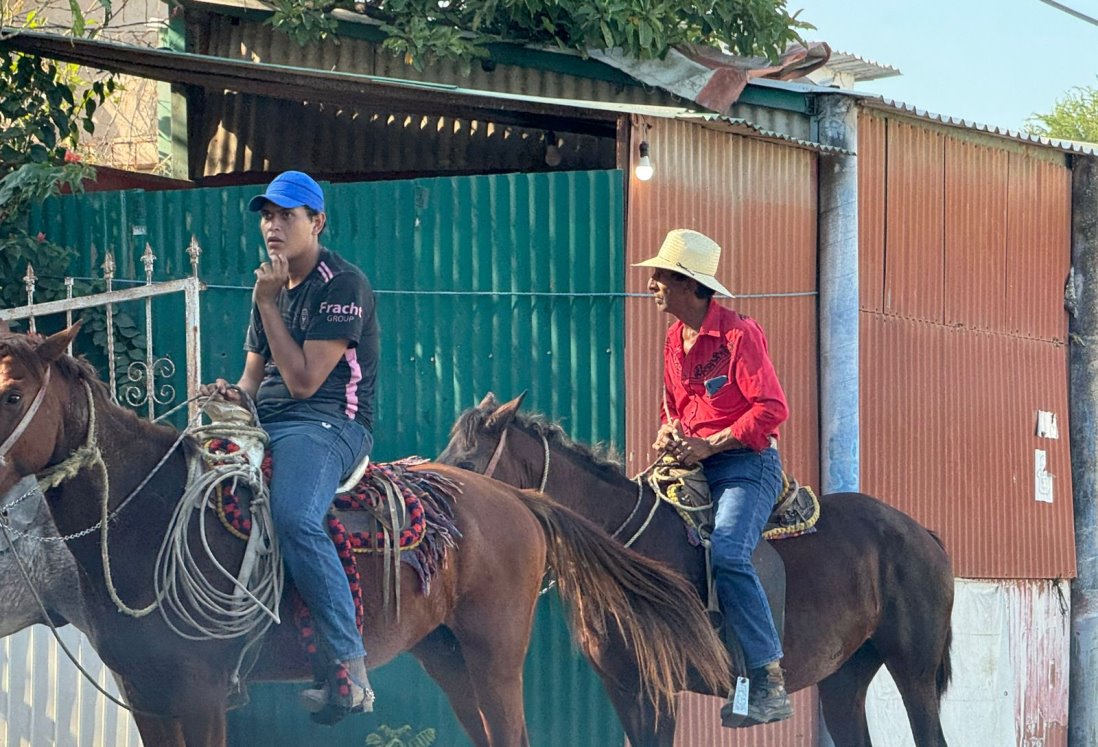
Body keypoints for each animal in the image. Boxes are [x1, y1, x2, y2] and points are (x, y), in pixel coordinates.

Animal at [0, 327, 733, 747]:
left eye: (12, 394)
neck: (145, 514)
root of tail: (519, 499)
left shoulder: (202, 693)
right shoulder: (145, 695)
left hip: (495, 656)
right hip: (449, 658)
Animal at [441, 393, 957, 742]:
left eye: (467, 462)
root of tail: (922, 533)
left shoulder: (656, 690)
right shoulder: (623, 688)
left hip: (914, 671)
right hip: (844, 676)